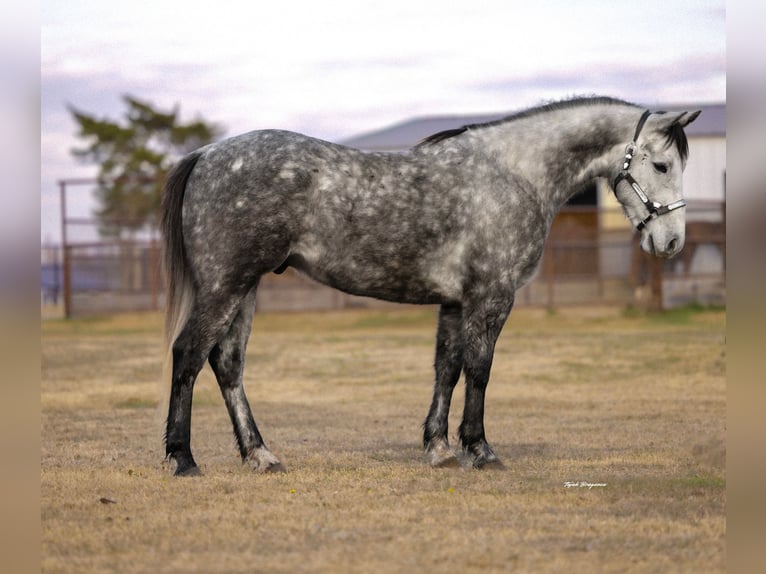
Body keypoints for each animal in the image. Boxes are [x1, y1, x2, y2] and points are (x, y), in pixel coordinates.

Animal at [161, 96, 700, 476]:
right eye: (662, 165)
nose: (672, 241)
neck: (514, 174)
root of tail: (206, 154)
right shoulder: (491, 296)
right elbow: (479, 369)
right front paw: (480, 449)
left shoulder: (455, 302)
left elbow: (447, 369)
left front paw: (439, 448)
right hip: (226, 285)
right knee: (188, 354)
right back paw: (182, 458)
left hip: (245, 287)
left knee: (227, 364)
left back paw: (260, 454)